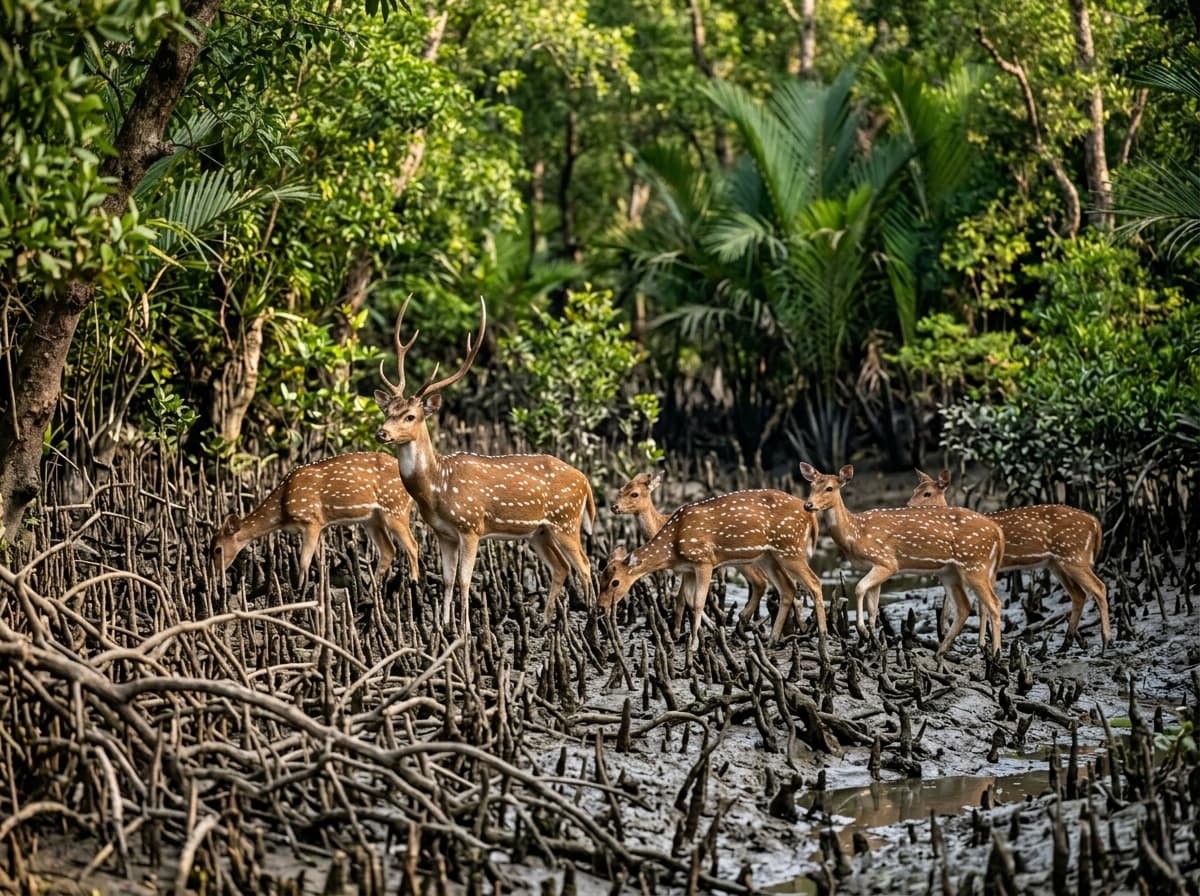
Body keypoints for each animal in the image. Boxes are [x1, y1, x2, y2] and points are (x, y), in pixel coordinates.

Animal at [211, 452, 419, 586]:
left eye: (217, 549)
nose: (216, 575)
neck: (283, 510)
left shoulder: (311, 520)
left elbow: (304, 562)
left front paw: (299, 591)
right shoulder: (323, 526)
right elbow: (319, 561)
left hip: (395, 508)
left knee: (413, 544)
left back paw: (413, 582)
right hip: (372, 519)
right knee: (389, 550)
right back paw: (373, 590)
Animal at [374, 297, 595, 628]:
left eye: (410, 416)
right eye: (387, 411)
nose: (382, 432)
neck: (437, 487)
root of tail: (585, 481)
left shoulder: (471, 525)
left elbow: (465, 580)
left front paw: (465, 628)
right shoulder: (444, 533)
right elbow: (447, 579)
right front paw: (444, 625)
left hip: (565, 519)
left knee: (584, 564)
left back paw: (596, 618)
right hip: (539, 531)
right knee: (561, 567)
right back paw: (544, 622)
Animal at [598, 488, 826, 653]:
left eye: (615, 582)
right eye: (600, 579)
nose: (600, 606)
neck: (673, 547)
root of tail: (811, 517)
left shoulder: (704, 560)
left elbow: (698, 602)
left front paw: (693, 645)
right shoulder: (689, 568)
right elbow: (689, 601)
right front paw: (707, 632)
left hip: (790, 548)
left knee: (814, 582)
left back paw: (822, 636)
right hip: (769, 556)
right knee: (787, 587)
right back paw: (771, 640)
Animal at [799, 463, 1005, 657]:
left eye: (830, 488)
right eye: (811, 485)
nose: (808, 505)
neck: (855, 534)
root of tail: (997, 532)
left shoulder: (887, 561)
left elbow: (858, 588)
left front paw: (863, 632)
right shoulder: (876, 566)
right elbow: (873, 609)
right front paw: (875, 643)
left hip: (975, 564)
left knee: (994, 604)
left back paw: (995, 653)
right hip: (950, 571)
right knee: (964, 607)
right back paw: (941, 652)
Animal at [907, 469, 1111, 650]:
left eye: (927, 493)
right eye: (914, 490)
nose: (908, 506)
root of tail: (1095, 522)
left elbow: (981, 606)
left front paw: (981, 645)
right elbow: (979, 605)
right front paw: (981, 643)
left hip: (1074, 555)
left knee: (1099, 587)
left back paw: (1106, 640)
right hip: (1057, 563)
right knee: (1079, 594)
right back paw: (1067, 644)